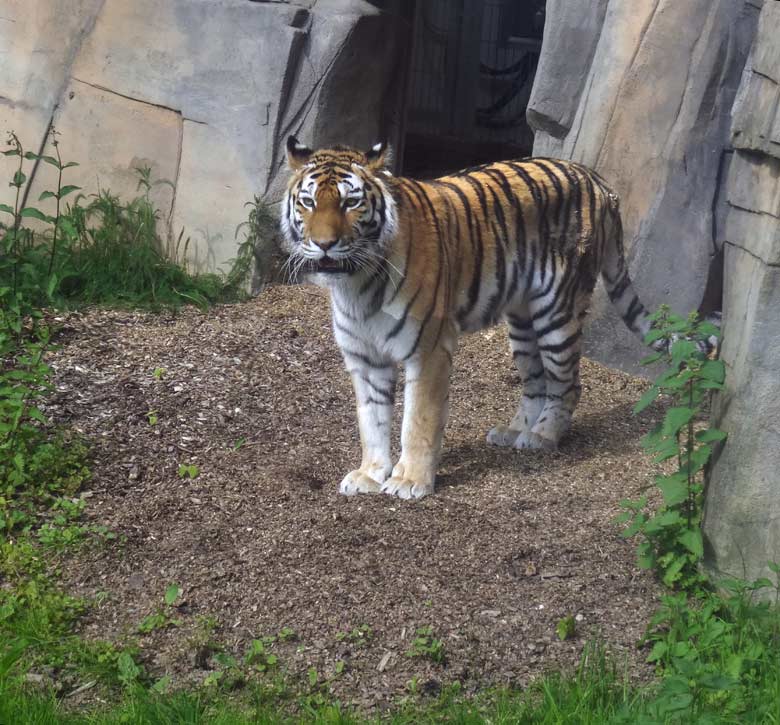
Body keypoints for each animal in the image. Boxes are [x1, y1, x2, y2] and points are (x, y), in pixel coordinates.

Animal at [278, 134, 676, 498]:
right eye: (309, 202)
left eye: (351, 202)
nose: (324, 244)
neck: (356, 284)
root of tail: (597, 179)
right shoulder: (365, 358)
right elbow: (371, 421)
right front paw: (370, 474)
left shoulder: (429, 350)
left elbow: (418, 420)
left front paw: (410, 481)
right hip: (522, 322)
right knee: (536, 380)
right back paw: (515, 431)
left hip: (557, 313)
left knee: (568, 383)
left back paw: (542, 436)